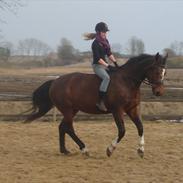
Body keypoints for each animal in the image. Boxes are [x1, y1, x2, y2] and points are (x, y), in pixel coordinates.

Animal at [25, 52, 168, 157]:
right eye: (156, 71)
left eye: (164, 72)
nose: (159, 92)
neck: (127, 81)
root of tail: (55, 81)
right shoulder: (117, 110)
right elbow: (122, 131)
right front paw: (110, 149)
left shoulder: (131, 109)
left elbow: (140, 127)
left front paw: (141, 150)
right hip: (67, 110)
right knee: (69, 128)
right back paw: (84, 149)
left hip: (73, 110)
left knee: (62, 127)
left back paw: (64, 150)